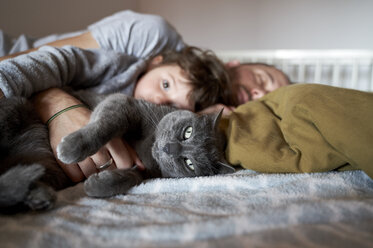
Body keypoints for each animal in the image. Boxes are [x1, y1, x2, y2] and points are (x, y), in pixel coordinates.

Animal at [0, 91, 232, 213]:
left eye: (189, 163)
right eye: (188, 132)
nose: (169, 148)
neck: (148, 146)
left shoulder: (144, 169)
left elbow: (129, 177)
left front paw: (95, 185)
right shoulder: (124, 103)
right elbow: (106, 125)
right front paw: (71, 147)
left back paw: (38, 196)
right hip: (13, 109)